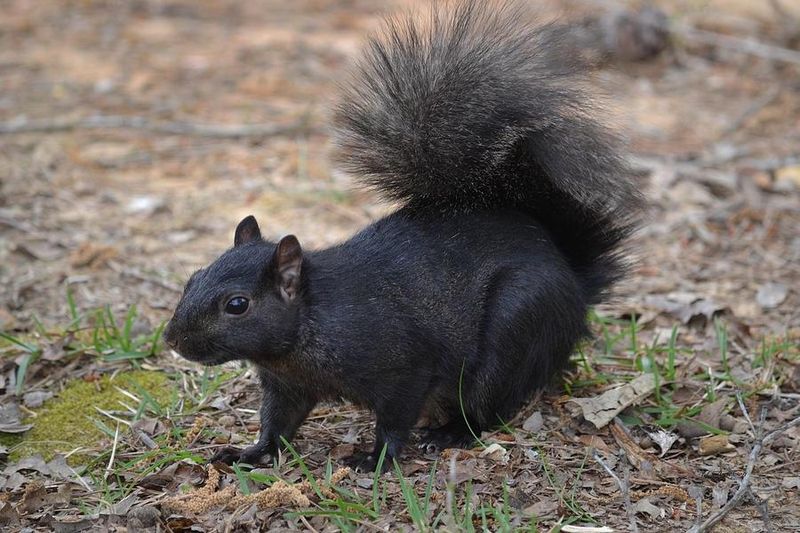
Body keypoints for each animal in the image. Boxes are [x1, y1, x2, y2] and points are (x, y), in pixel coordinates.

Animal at [164, 0, 643, 471]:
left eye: (237, 305)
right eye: (192, 279)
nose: (172, 340)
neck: (309, 324)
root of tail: (575, 279)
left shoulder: (405, 367)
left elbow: (396, 416)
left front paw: (375, 458)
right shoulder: (287, 384)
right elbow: (278, 421)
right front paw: (251, 452)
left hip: (515, 327)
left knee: (488, 405)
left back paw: (449, 433)